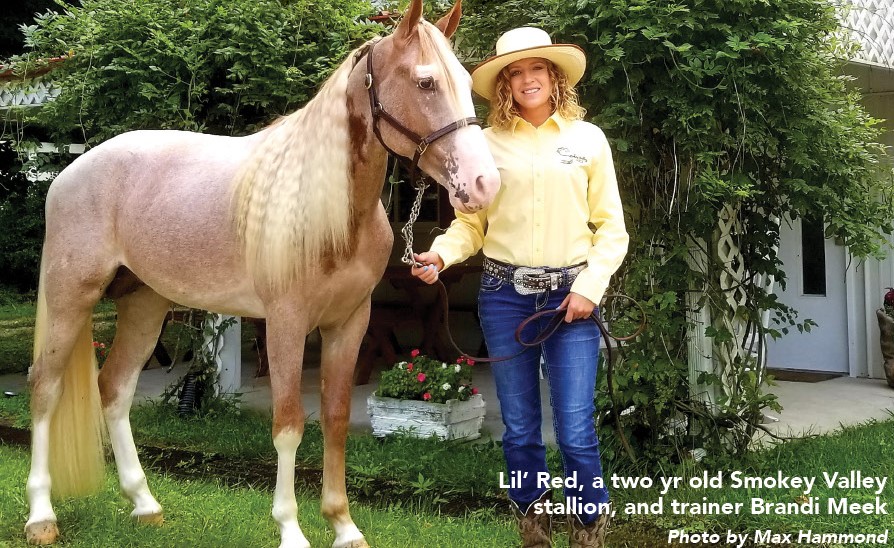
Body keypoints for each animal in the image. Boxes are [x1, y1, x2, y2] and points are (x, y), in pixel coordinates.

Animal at [24, 0, 499, 546]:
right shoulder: (286, 324)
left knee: (115, 389)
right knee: (44, 388)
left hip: (145, 304)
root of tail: (68, 174)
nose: (484, 184)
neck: (330, 212)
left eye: (465, 79)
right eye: (425, 82)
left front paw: (343, 525)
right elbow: (289, 424)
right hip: (70, 298)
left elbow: (335, 418)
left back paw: (144, 504)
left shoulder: (349, 324)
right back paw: (41, 517)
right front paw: (291, 528)